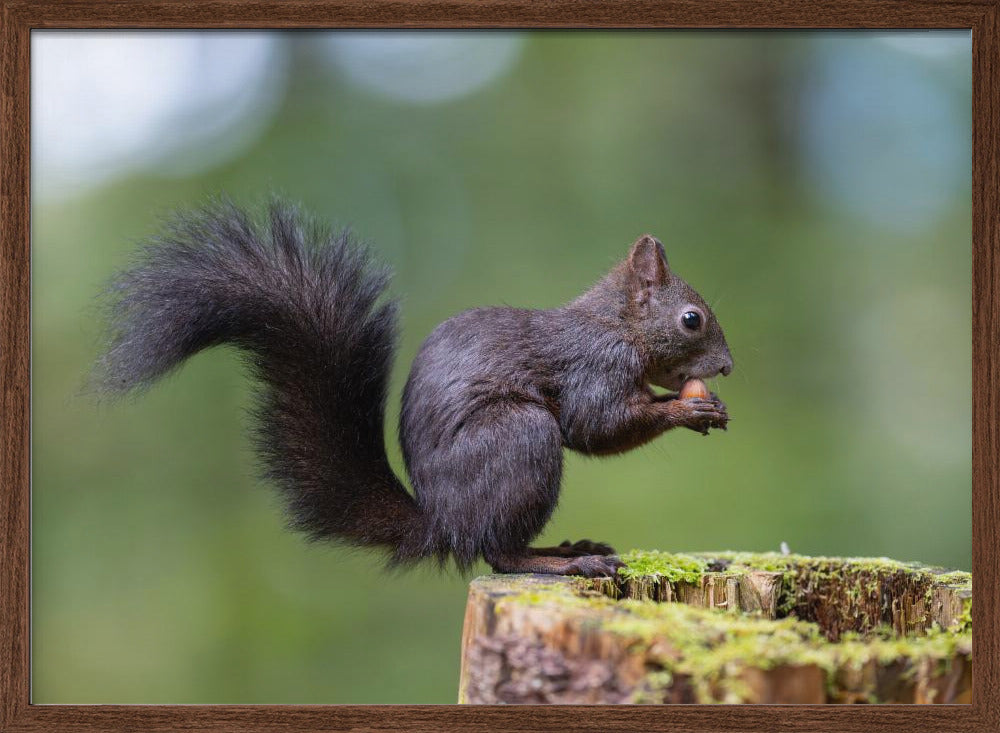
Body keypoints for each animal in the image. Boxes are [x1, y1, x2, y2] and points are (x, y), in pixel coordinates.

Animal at [95, 198, 732, 578]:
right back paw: (560, 563)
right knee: (497, 554)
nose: (726, 368)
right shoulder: (593, 367)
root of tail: (441, 522)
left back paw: (570, 550)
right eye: (691, 320)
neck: (616, 325)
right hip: (519, 440)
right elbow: (597, 427)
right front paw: (685, 410)